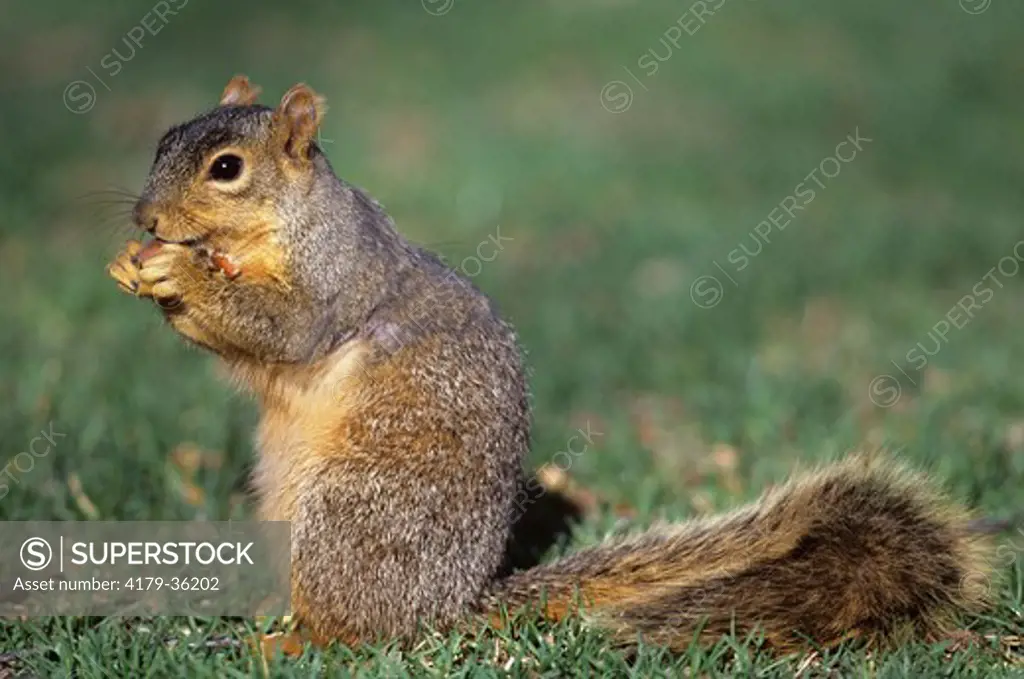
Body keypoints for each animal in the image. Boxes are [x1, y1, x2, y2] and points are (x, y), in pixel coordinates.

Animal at [108, 76, 995, 655]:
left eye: (227, 168)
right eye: (161, 141)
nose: (146, 217)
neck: (276, 227)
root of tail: (447, 605)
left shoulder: (337, 279)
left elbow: (284, 328)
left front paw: (179, 273)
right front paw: (137, 264)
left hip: (355, 516)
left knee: (358, 633)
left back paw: (291, 645)